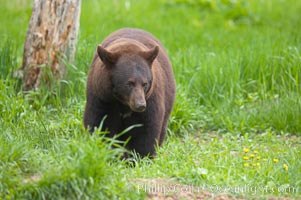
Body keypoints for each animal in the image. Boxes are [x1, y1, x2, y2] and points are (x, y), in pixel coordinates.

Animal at [83, 27, 175, 157]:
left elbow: (147, 130)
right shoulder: (102, 97)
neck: (123, 104)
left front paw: (141, 156)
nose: (140, 105)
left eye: (145, 83)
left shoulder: (151, 100)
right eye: (129, 83)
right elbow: (99, 124)